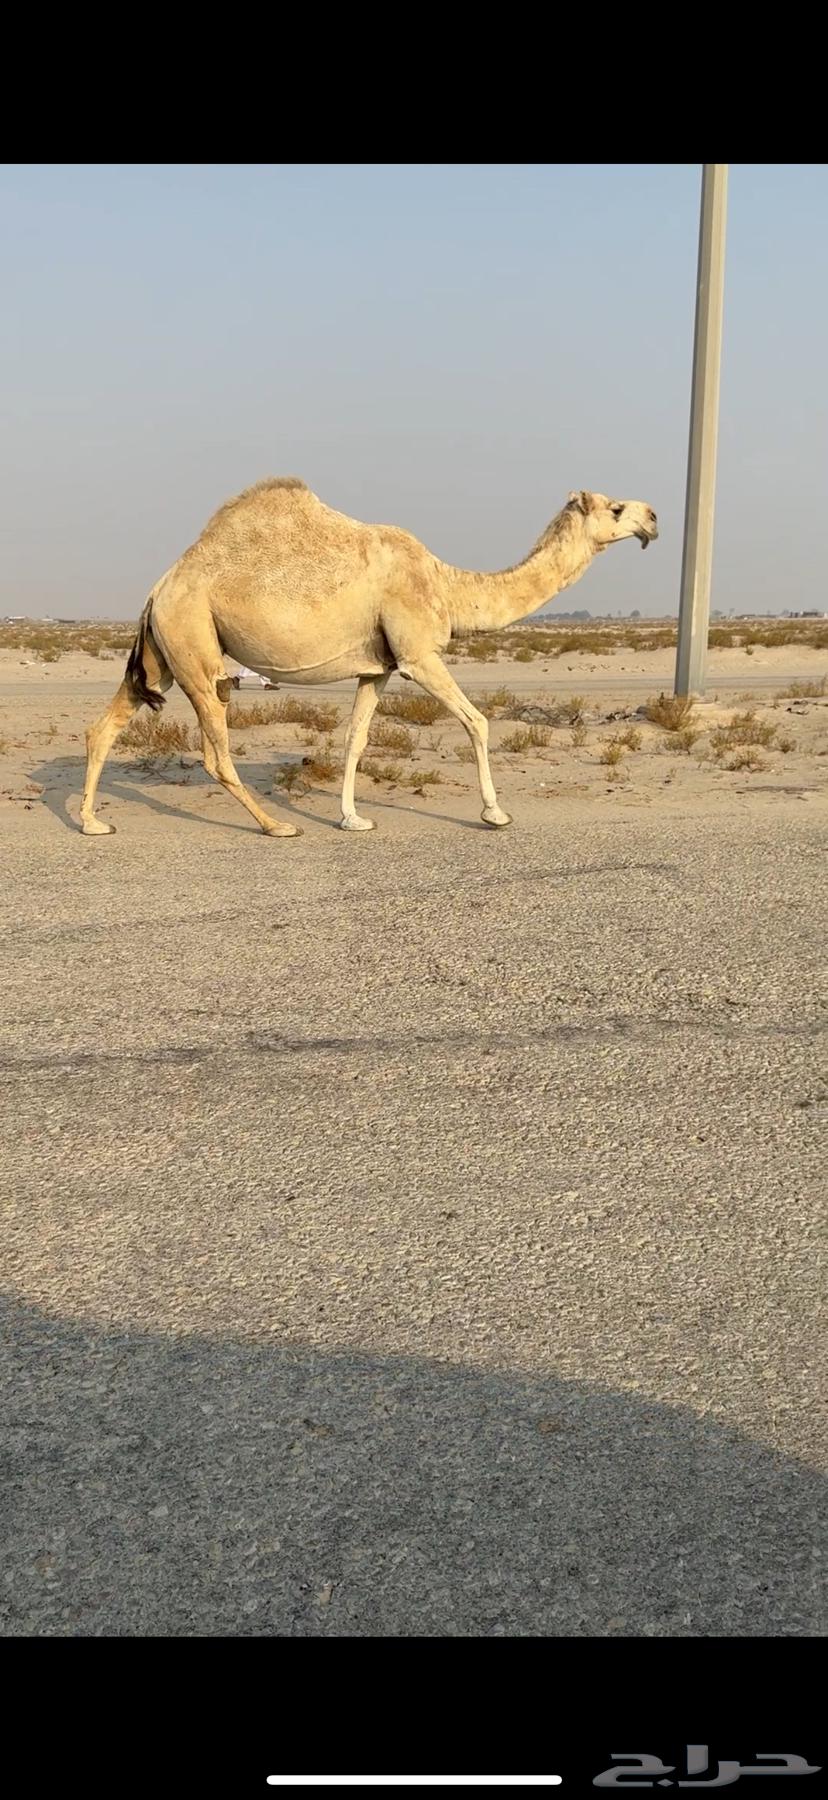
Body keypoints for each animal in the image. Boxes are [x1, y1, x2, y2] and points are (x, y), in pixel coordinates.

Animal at [79, 480, 658, 837]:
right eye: (615, 508)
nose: (653, 517)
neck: (447, 586)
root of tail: (160, 587)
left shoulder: (376, 669)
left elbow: (355, 739)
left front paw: (352, 818)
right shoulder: (418, 653)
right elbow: (477, 721)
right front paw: (495, 814)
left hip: (163, 655)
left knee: (105, 726)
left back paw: (92, 822)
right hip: (194, 643)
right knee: (216, 751)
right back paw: (276, 825)